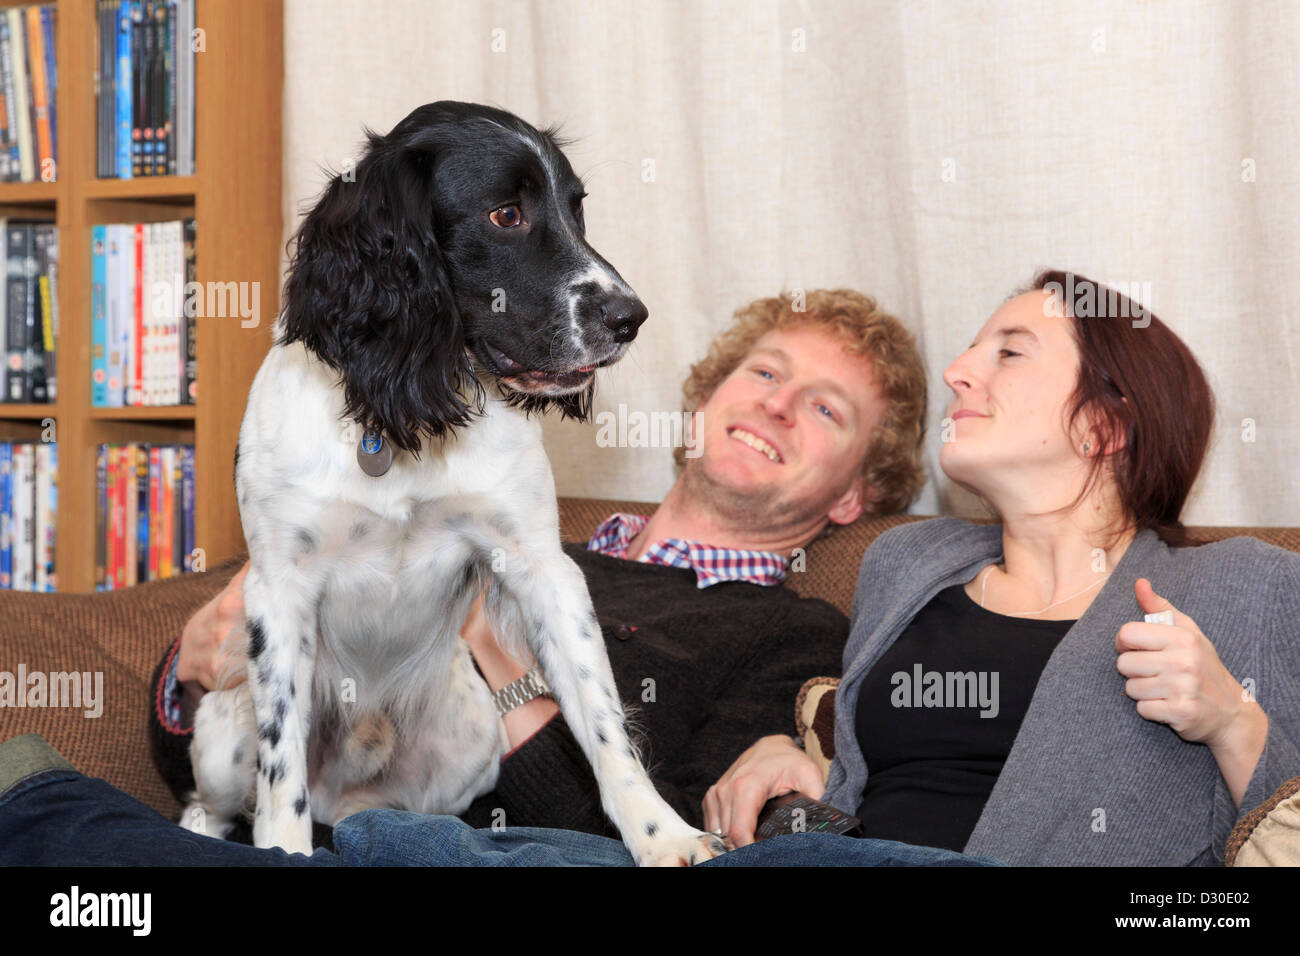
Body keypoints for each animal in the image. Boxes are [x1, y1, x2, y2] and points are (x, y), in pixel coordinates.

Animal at [182, 102, 728, 868]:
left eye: (575, 208)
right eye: (506, 215)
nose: (631, 318)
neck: (406, 418)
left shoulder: (543, 570)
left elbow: (605, 726)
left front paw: (663, 835)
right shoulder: (278, 590)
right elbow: (280, 765)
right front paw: (284, 849)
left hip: (471, 739)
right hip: (222, 728)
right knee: (212, 802)